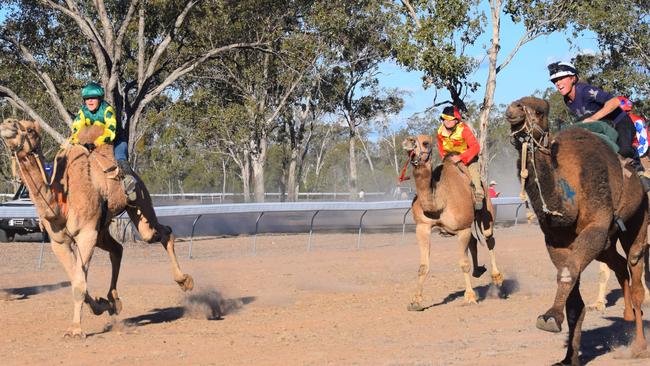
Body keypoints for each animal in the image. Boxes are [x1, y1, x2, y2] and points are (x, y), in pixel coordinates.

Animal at [0, 119, 192, 338]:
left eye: (31, 130)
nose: (7, 124)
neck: (61, 201)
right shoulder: (59, 242)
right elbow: (76, 279)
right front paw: (101, 306)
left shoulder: (86, 235)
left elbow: (78, 283)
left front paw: (75, 329)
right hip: (102, 228)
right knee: (118, 249)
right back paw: (114, 301)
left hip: (140, 202)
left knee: (161, 233)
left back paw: (185, 281)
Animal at [400, 136, 502, 310]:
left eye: (426, 142)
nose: (408, 141)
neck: (439, 201)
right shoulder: (422, 227)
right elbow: (423, 266)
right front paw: (416, 302)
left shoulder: (462, 228)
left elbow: (463, 264)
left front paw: (470, 297)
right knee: (474, 241)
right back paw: (478, 271)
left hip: (485, 210)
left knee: (489, 238)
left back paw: (497, 277)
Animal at [506, 96, 648, 364]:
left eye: (540, 111)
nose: (513, 109)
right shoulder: (556, 241)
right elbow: (573, 301)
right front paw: (568, 357)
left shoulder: (596, 226)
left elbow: (567, 274)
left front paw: (549, 317)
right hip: (606, 244)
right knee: (618, 265)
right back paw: (624, 315)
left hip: (637, 219)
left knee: (635, 269)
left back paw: (638, 347)